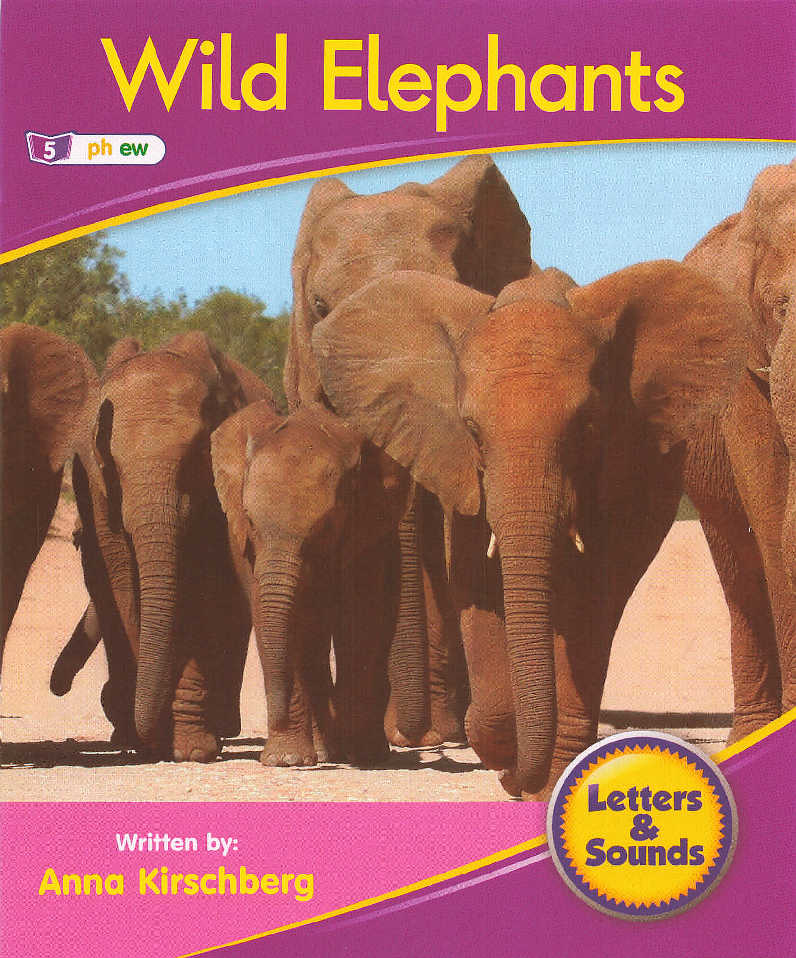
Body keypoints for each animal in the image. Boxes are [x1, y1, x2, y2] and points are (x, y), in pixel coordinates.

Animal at [70, 331, 275, 761]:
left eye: (198, 453)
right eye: (113, 461)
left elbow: (209, 592)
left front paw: (191, 749)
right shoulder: (96, 487)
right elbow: (124, 584)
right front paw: (154, 741)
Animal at [212, 400, 427, 765]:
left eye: (325, 526)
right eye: (251, 522)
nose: (275, 716)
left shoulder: (366, 531)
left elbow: (359, 618)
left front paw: (358, 755)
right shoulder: (241, 540)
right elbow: (272, 614)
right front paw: (286, 760)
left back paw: (361, 750)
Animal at [310, 260, 750, 798]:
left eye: (586, 427)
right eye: (471, 429)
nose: (517, 779)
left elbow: (590, 598)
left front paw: (538, 777)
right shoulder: (466, 473)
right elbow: (477, 583)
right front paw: (505, 759)